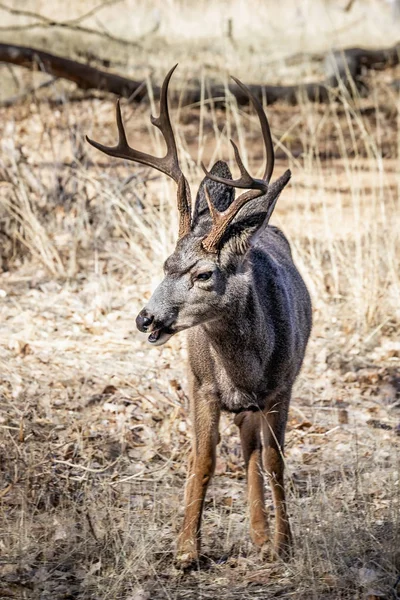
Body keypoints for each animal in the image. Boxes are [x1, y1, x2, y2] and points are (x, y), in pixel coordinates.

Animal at [86, 65, 312, 568]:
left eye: (204, 273)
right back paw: (255, 535)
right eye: (165, 264)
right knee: (242, 447)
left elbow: (276, 462)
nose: (146, 319)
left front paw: (285, 545)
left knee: (254, 450)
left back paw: (264, 538)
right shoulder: (201, 386)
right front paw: (187, 550)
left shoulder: (281, 388)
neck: (244, 371)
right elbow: (203, 461)